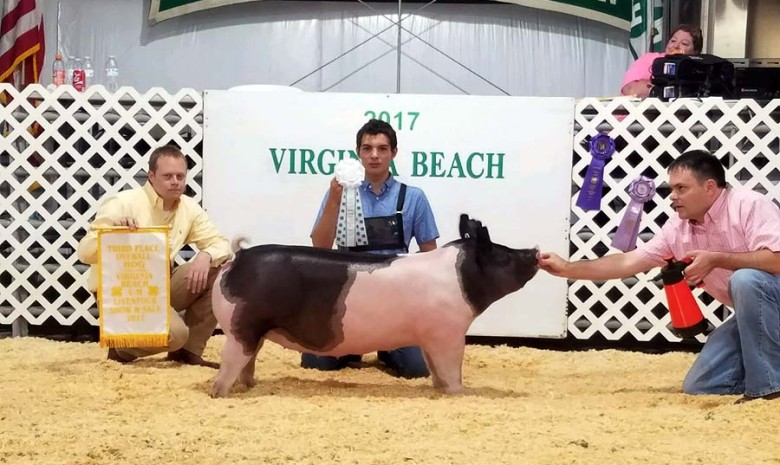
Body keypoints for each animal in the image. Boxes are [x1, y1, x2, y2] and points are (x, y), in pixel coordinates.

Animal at [210, 212, 540, 396]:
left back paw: (250, 386)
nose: (535, 251)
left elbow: (435, 369)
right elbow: (451, 368)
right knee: (229, 364)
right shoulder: (448, 333)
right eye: (503, 255)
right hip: (242, 327)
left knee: (248, 362)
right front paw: (460, 393)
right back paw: (221, 394)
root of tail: (238, 258)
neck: (460, 278)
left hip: (254, 332)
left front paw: (440, 390)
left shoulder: (429, 337)